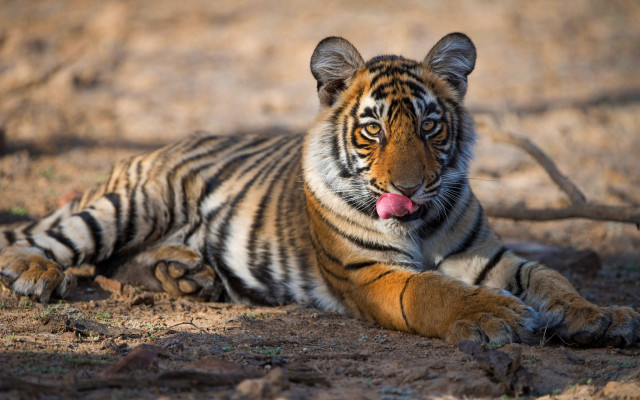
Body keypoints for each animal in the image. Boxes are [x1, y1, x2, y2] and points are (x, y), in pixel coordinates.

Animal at [0, 33, 638, 347]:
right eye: (373, 128)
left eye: (430, 126)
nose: (409, 187)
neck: (420, 224)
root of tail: (150, 149)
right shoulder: (371, 272)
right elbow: (434, 292)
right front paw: (494, 316)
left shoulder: (488, 254)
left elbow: (551, 278)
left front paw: (602, 316)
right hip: (135, 202)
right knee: (60, 238)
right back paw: (34, 274)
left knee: (126, 260)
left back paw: (189, 275)